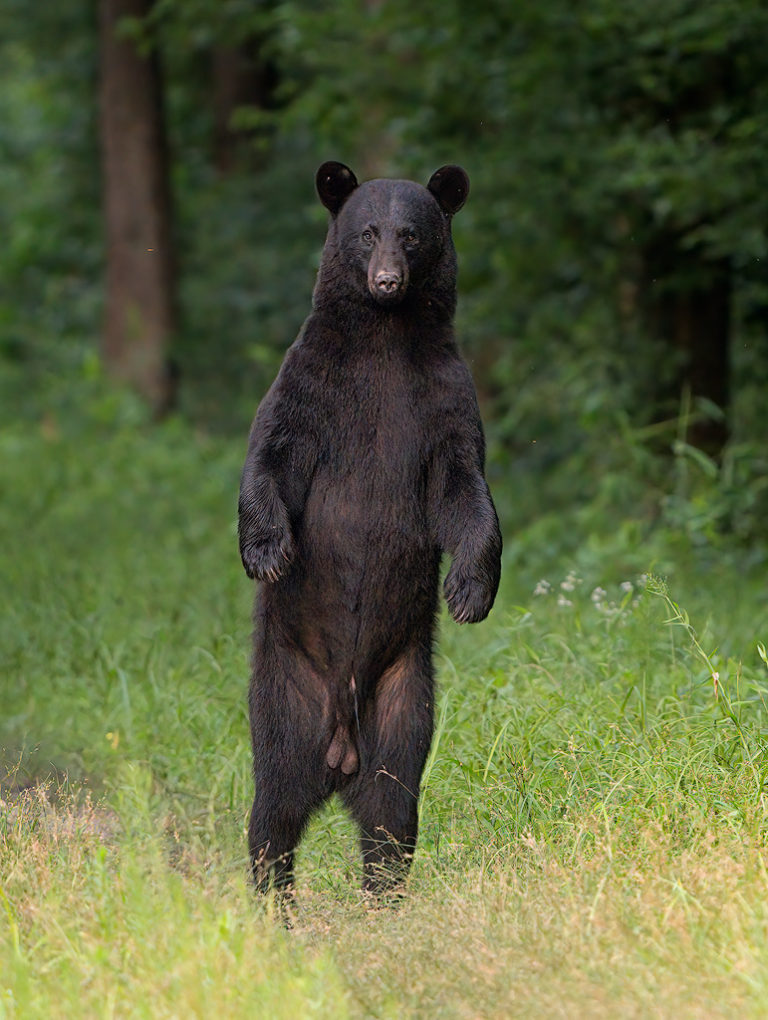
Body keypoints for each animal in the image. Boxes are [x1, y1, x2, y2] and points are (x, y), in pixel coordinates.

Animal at [239, 157, 503, 893]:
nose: (388, 280)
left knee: (392, 814)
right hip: (285, 697)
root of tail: (339, 752)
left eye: (410, 234)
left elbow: (464, 490)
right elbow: (272, 453)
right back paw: (272, 898)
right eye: (366, 233)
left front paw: (469, 591)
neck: (384, 341)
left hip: (403, 701)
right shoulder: (313, 385)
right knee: (272, 813)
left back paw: (385, 896)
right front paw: (267, 550)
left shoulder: (442, 401)